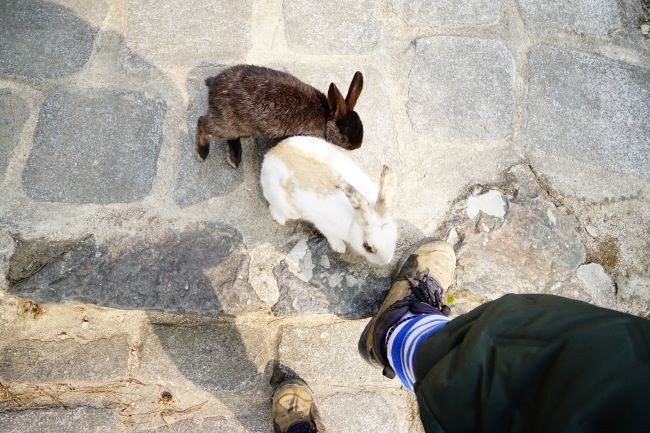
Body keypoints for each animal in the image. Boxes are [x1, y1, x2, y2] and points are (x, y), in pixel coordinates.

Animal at [192, 65, 364, 168]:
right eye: (345, 138)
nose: (358, 146)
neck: (326, 116)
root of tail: (212, 85)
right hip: (226, 123)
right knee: (202, 121)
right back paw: (202, 152)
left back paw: (234, 158)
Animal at [260, 135, 394, 264]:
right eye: (367, 247)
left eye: (394, 233)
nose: (386, 262)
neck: (354, 221)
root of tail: (270, 155)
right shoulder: (324, 225)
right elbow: (331, 236)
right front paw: (340, 248)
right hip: (285, 205)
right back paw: (280, 218)